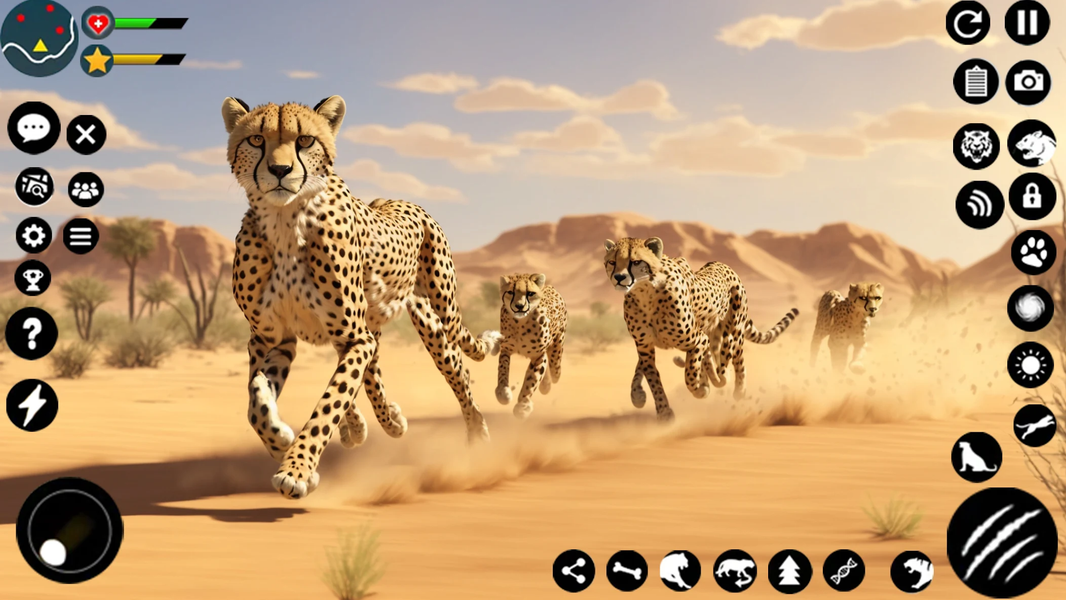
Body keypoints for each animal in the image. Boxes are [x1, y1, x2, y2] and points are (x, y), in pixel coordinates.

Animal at [222, 95, 501, 499]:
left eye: (304, 140)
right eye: (257, 140)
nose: (279, 169)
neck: (285, 219)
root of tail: (398, 200)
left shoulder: (352, 335)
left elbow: (330, 401)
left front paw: (297, 469)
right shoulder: (271, 337)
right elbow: (255, 401)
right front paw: (281, 441)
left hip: (438, 319)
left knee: (458, 371)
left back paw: (476, 435)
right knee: (371, 371)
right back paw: (378, 423)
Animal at [494, 273, 568, 419]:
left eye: (530, 293)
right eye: (510, 292)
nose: (519, 306)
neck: (520, 323)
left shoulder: (538, 355)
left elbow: (531, 380)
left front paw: (522, 406)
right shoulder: (506, 349)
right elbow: (503, 371)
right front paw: (503, 393)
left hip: (557, 348)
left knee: (555, 370)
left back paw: (548, 383)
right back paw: (546, 385)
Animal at [604, 237, 799, 420]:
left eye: (636, 262)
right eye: (612, 262)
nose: (619, 277)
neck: (645, 293)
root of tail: (724, 265)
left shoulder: (698, 340)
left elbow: (690, 377)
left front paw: (701, 389)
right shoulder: (645, 347)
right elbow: (653, 379)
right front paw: (663, 411)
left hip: (733, 329)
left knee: (735, 358)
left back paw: (737, 388)